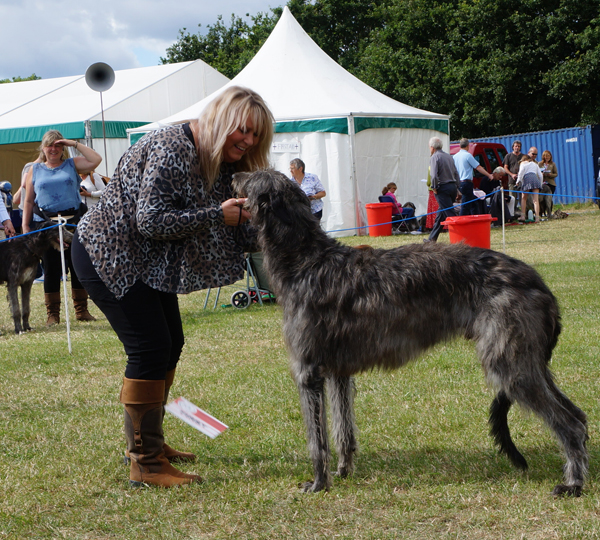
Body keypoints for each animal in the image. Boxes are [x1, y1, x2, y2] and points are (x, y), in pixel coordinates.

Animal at [233, 171, 584, 496]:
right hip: (529, 360)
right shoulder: (337, 371)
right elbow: (343, 429)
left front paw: (319, 482)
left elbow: (316, 441)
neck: (306, 260)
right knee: (578, 415)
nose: (234, 174)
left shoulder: (308, 371)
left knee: (570, 424)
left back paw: (573, 483)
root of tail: (540, 285)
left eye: (252, 177)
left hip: (510, 363)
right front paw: (344, 470)